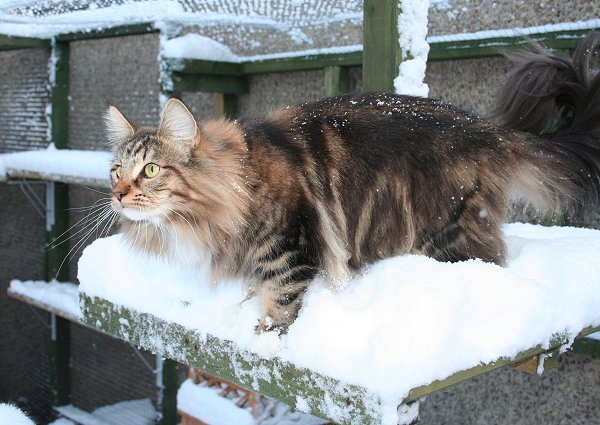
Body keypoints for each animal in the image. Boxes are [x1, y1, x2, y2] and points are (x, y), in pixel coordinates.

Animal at [106, 32, 600, 334]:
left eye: (151, 169)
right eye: (116, 170)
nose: (118, 194)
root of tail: (486, 130)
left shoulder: (291, 250)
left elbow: (278, 304)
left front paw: (263, 336)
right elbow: (255, 286)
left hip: (448, 229)